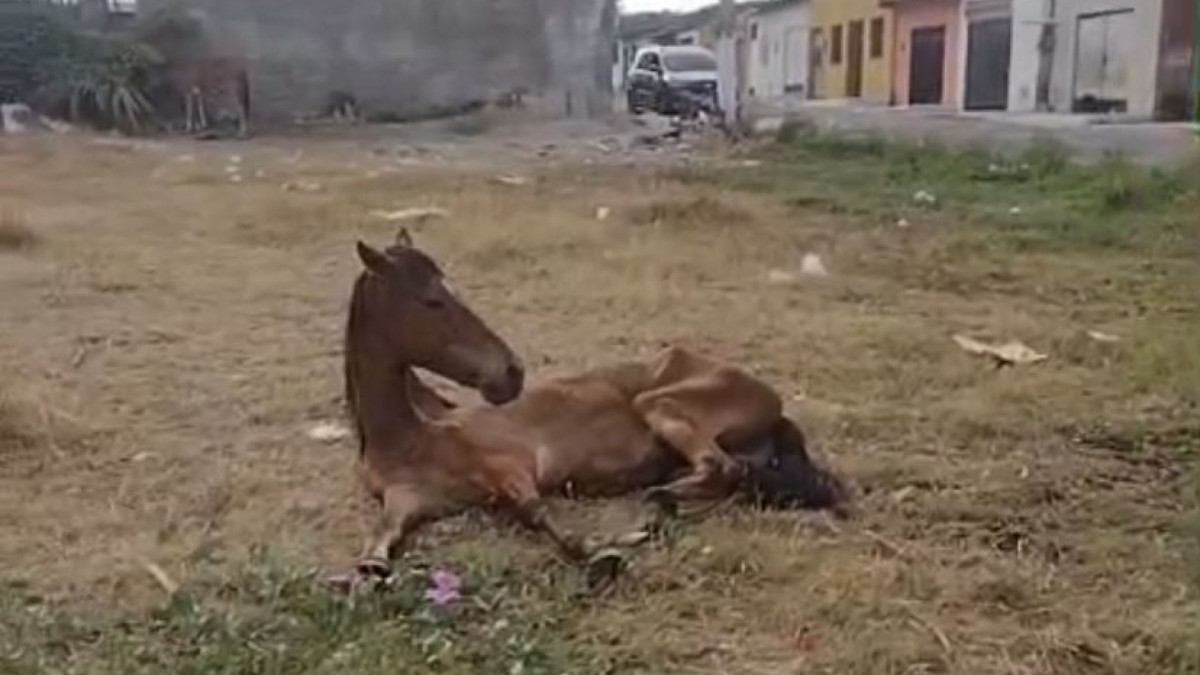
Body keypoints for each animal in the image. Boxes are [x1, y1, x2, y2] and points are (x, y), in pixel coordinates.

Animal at [335, 231, 849, 591]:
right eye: (432, 301)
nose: (512, 372)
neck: (413, 437)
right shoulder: (404, 505)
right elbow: (372, 559)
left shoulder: (510, 469)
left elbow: (540, 514)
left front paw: (600, 554)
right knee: (732, 477)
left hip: (657, 404)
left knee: (718, 469)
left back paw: (646, 514)